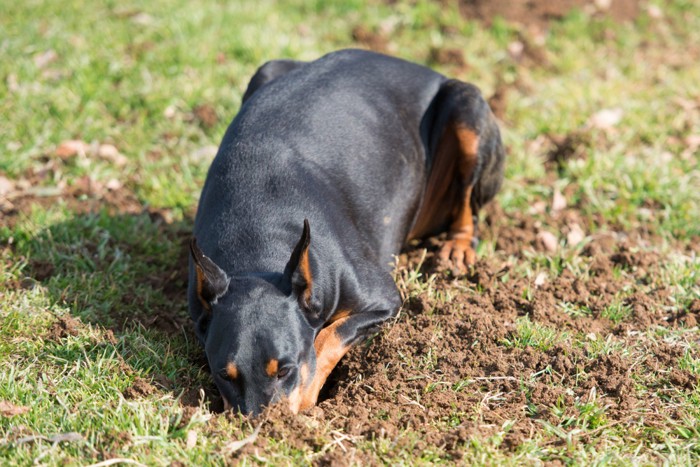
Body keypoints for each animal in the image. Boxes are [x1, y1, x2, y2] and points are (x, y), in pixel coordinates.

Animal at [187, 49, 504, 416]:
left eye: (285, 369)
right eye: (224, 374)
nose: (262, 425)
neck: (256, 240)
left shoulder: (382, 298)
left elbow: (327, 337)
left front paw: (306, 397)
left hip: (467, 107)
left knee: (468, 205)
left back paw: (458, 247)